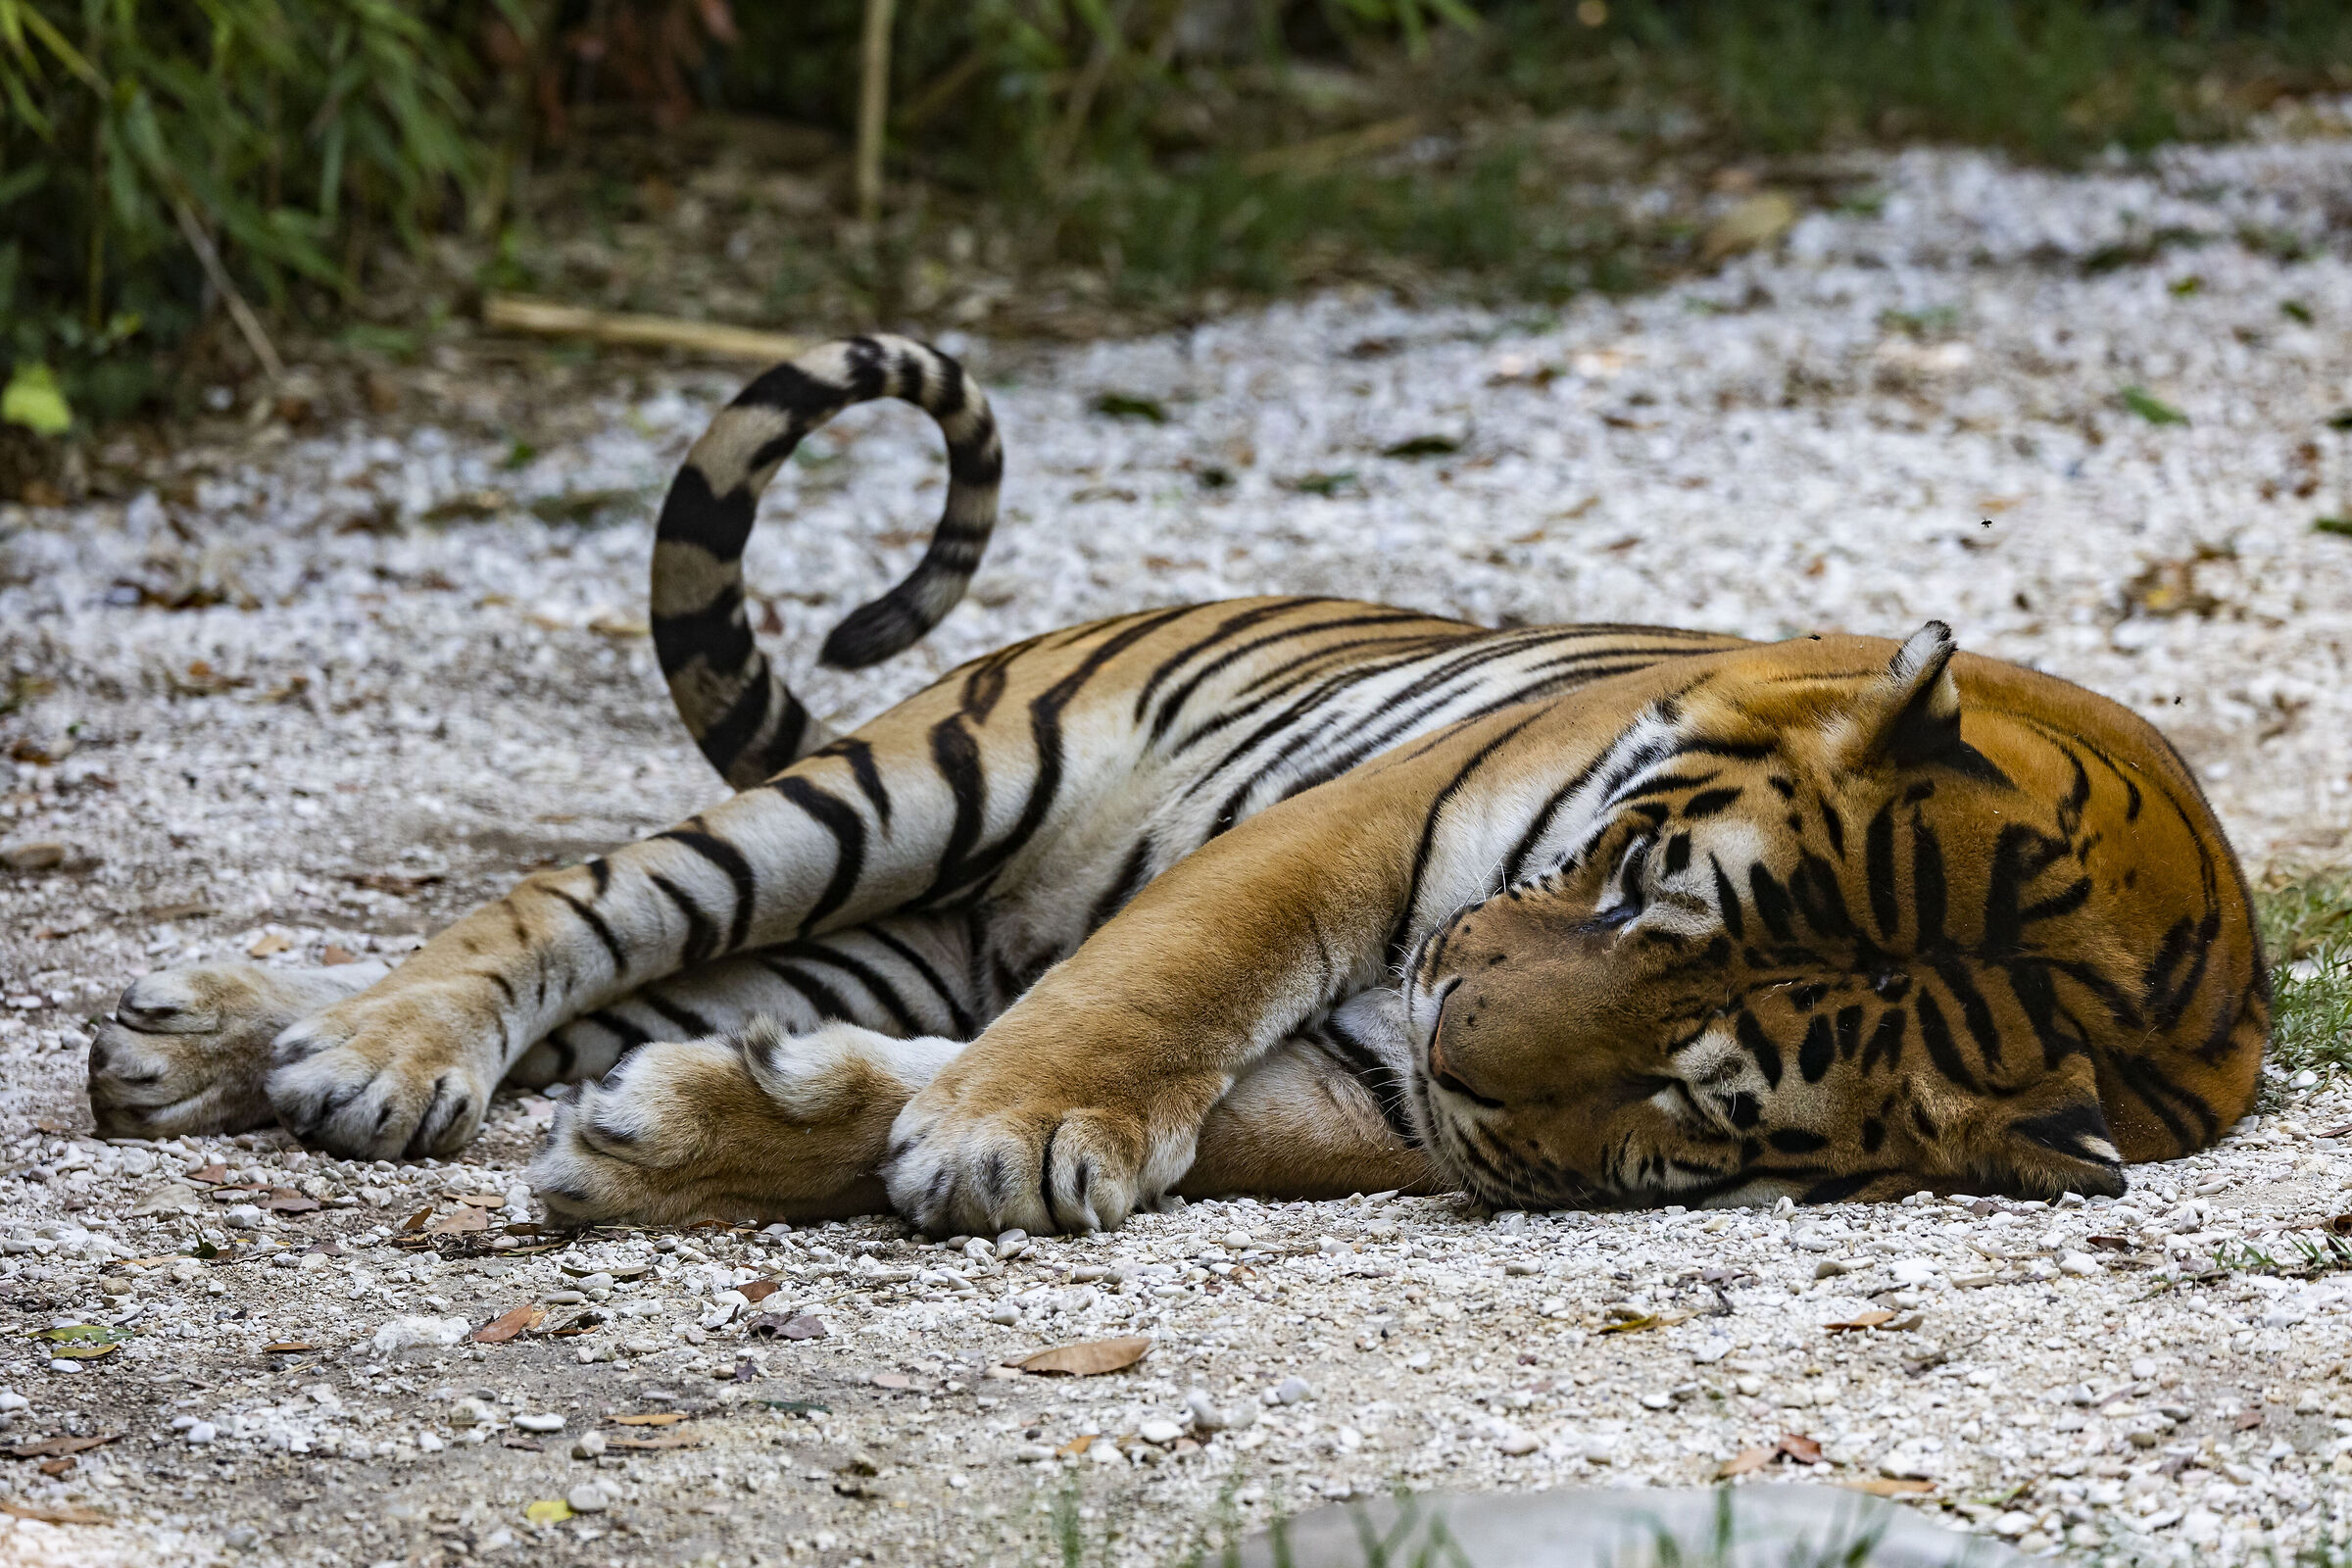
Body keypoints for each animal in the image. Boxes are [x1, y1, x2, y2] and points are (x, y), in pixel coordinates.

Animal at [84, 334, 2268, 1234]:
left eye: (1689, 1101)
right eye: (1651, 895)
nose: (1456, 1036)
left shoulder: (1399, 1097)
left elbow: (1214, 1116)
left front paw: (713, 1145)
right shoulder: (1364, 832)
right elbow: (1175, 976)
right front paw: (1017, 1131)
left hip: (886, 942)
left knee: (645, 989)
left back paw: (213, 1042)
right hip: (914, 785)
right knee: (565, 905)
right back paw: (342, 1049)